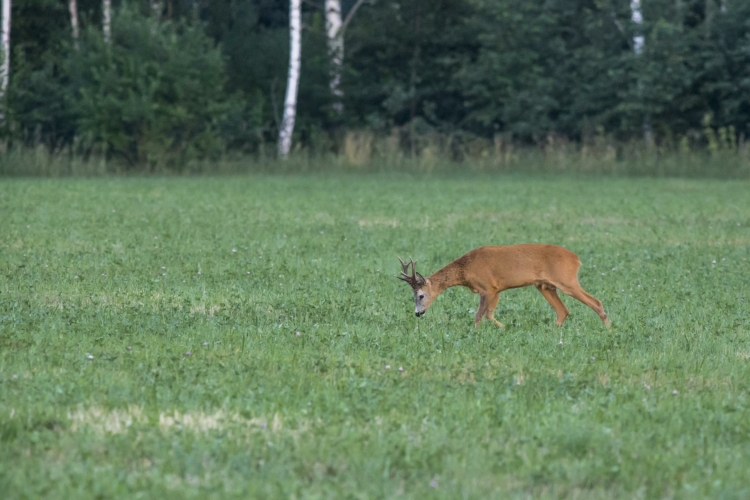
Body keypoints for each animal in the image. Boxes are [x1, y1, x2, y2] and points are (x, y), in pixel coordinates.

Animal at [400, 245, 612, 328]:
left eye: (420, 295)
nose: (417, 313)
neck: (466, 269)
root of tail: (576, 259)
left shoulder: (487, 287)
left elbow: (479, 316)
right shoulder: (497, 290)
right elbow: (489, 314)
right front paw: (504, 328)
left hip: (566, 280)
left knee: (596, 302)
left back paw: (608, 329)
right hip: (545, 286)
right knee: (563, 311)